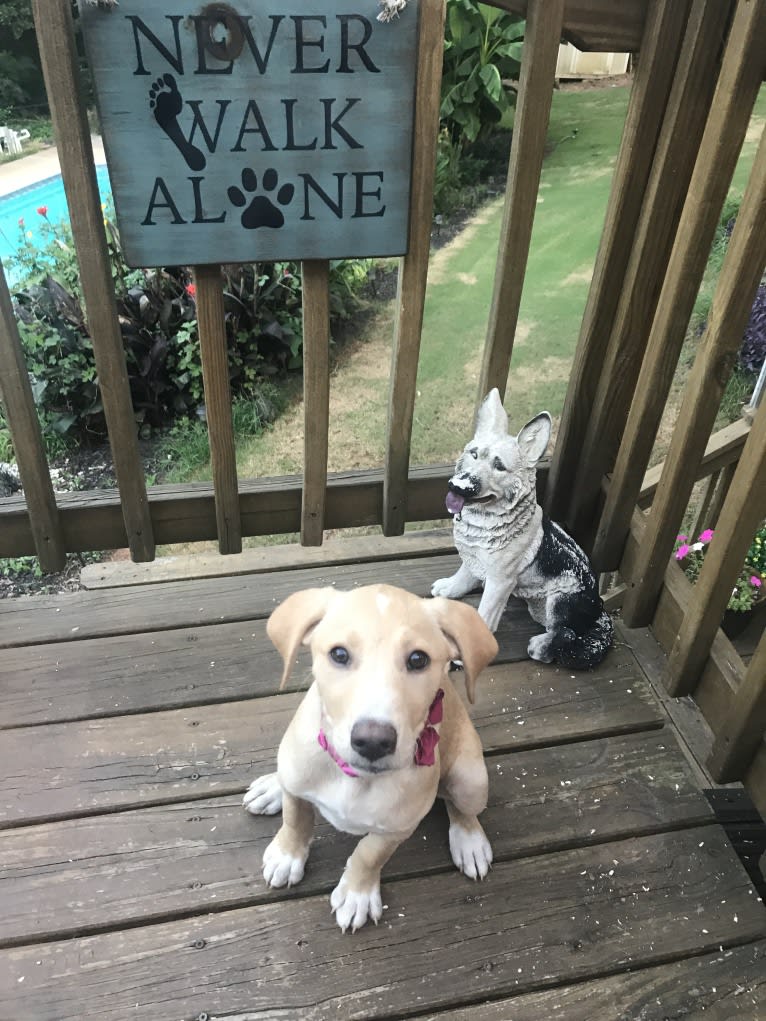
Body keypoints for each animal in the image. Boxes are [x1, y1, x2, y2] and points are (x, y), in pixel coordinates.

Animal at [243, 584, 500, 935]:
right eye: (339, 654)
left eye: (418, 659)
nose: (374, 742)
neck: (354, 779)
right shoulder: (297, 788)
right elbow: (296, 820)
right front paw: (287, 856)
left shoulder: (396, 828)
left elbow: (369, 855)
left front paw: (357, 895)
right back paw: (270, 788)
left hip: (471, 780)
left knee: (460, 806)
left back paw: (469, 842)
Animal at [435, 387, 616, 669]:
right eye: (473, 454)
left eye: (499, 466)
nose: (458, 486)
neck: (484, 523)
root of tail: (600, 609)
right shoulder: (474, 558)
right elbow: (464, 575)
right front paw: (449, 588)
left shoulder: (500, 582)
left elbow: (485, 613)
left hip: (561, 600)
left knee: (566, 633)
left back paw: (541, 647)